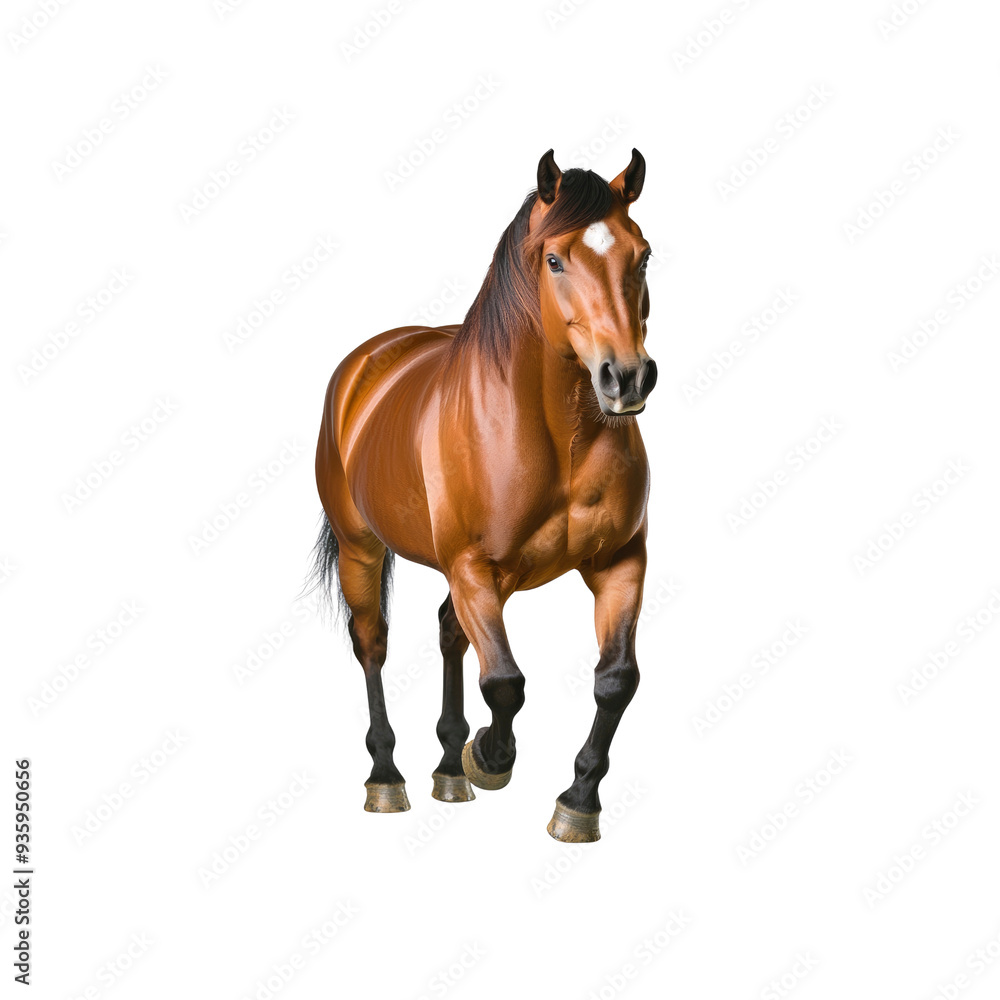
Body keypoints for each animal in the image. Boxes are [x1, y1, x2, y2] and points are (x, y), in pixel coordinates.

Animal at [310, 148, 656, 842]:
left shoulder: (619, 563)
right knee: (373, 645)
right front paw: (491, 757)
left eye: (643, 256)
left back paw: (447, 768)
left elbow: (615, 681)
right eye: (555, 260)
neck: (556, 434)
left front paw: (577, 802)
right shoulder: (474, 567)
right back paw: (388, 778)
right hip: (365, 551)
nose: (627, 378)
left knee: (449, 630)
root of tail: (367, 363)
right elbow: (504, 683)